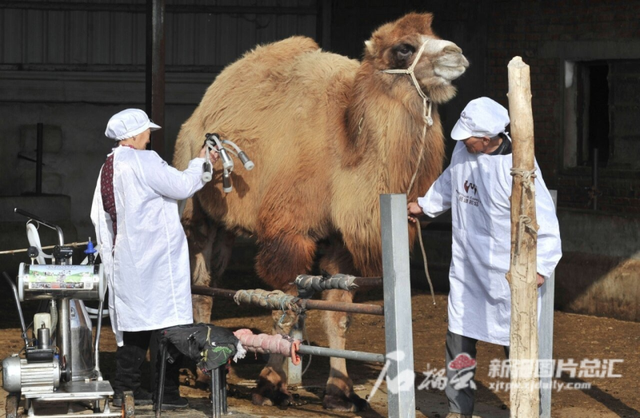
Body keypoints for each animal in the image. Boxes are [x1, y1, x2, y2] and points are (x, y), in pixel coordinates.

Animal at [172, 12, 468, 412]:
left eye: (435, 34)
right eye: (404, 47)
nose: (457, 54)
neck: (344, 149)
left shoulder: (341, 242)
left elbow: (337, 316)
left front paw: (339, 392)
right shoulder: (286, 233)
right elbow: (286, 308)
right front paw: (270, 385)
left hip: (228, 226)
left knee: (214, 274)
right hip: (197, 206)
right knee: (201, 282)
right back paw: (202, 373)